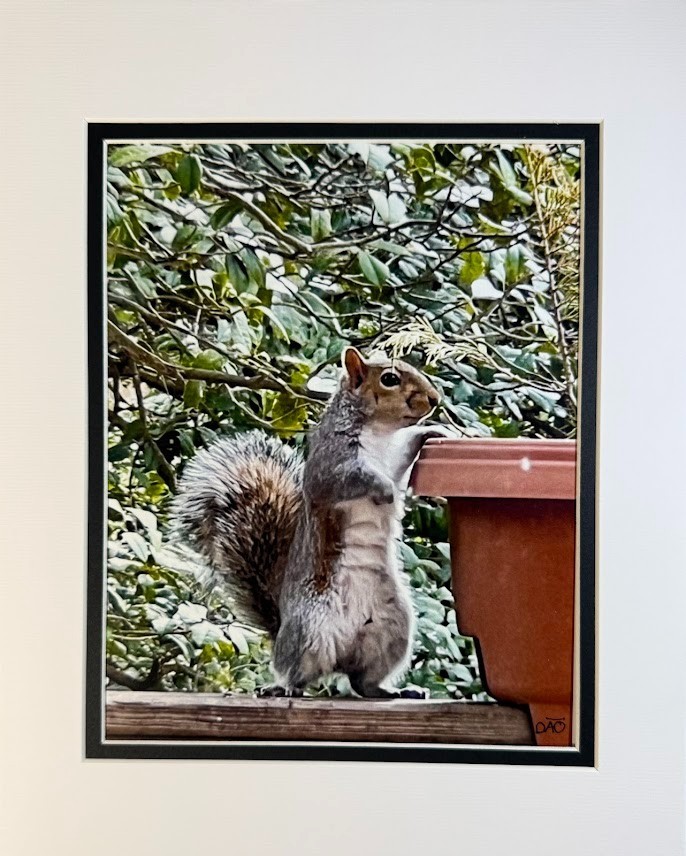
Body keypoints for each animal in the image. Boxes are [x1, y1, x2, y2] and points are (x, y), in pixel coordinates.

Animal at [172, 347, 452, 699]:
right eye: (389, 379)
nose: (434, 399)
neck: (380, 432)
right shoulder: (330, 466)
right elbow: (353, 479)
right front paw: (385, 490)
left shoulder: (393, 458)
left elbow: (403, 458)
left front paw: (433, 432)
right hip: (308, 628)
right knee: (299, 673)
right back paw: (284, 688)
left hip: (393, 627)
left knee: (363, 682)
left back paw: (391, 691)